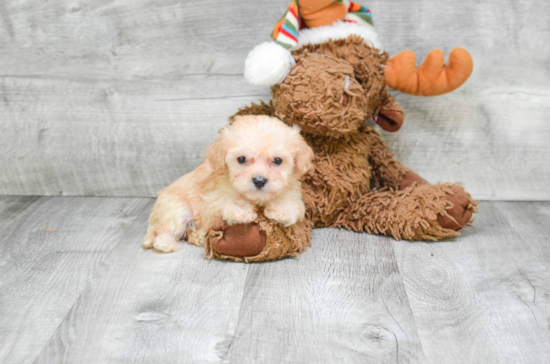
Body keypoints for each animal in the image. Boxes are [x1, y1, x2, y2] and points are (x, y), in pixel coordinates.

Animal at [142, 115, 314, 252]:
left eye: (278, 160)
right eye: (241, 159)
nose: (259, 180)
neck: (257, 200)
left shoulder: (293, 193)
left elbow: (294, 205)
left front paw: (282, 211)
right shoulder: (211, 203)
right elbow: (225, 201)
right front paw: (241, 210)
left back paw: (199, 237)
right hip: (176, 209)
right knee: (164, 231)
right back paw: (168, 244)